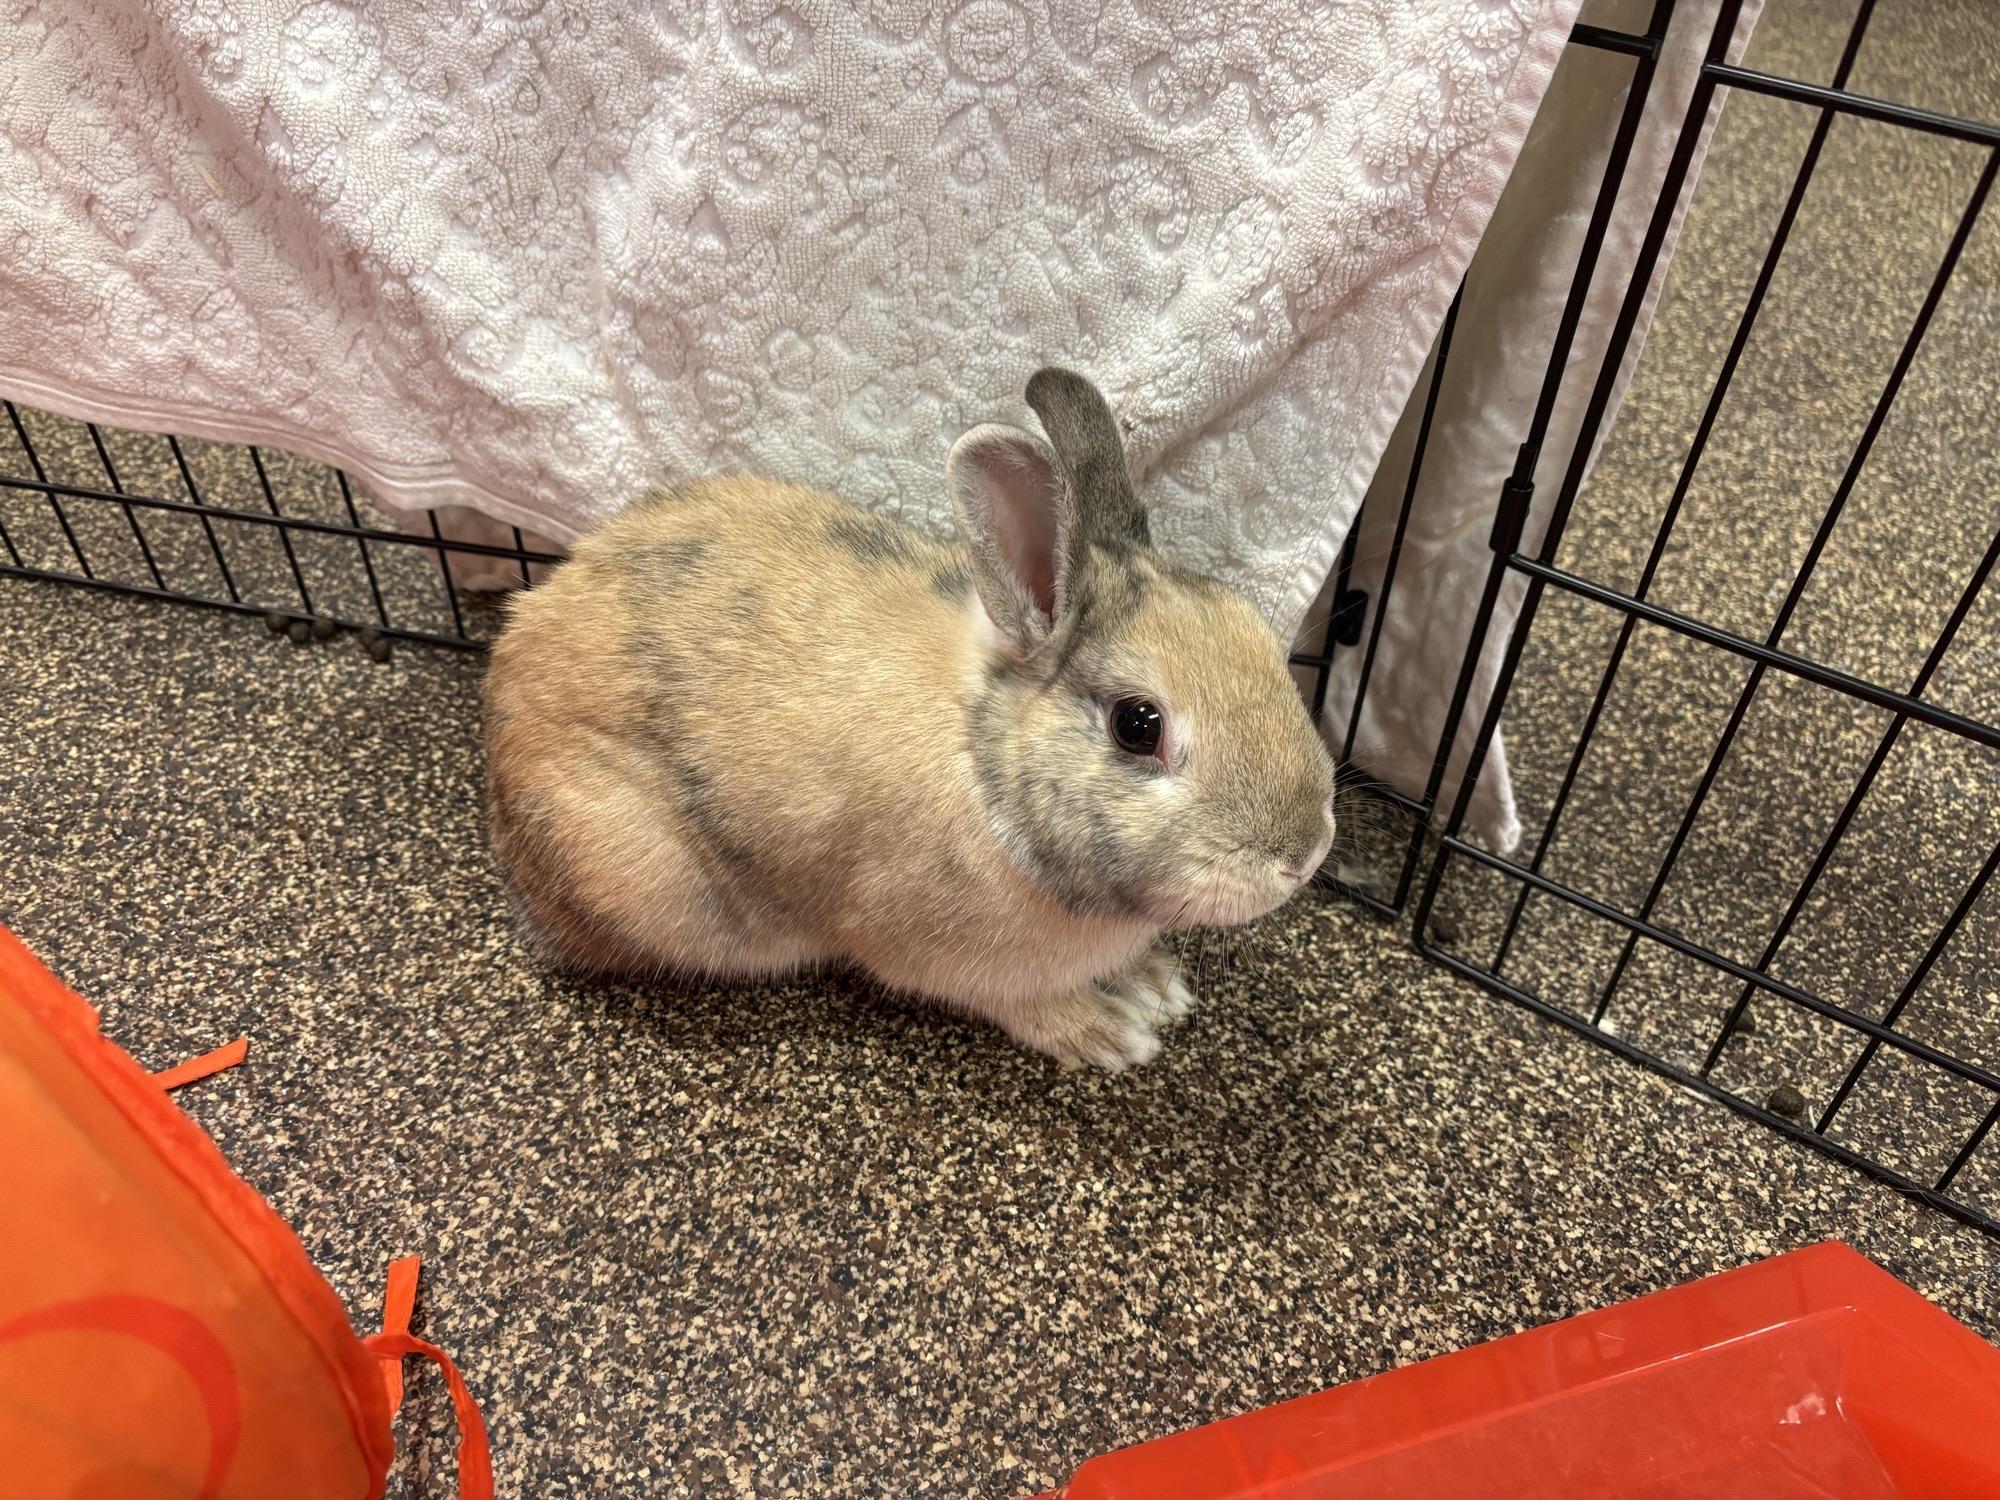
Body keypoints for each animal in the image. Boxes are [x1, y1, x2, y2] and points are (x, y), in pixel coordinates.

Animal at [484, 368, 1336, 1070]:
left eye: (1257, 634)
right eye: (1137, 725)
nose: (1304, 853)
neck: (988, 761)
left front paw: (1156, 984)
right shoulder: (935, 954)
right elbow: (1020, 1002)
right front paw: (1106, 1031)